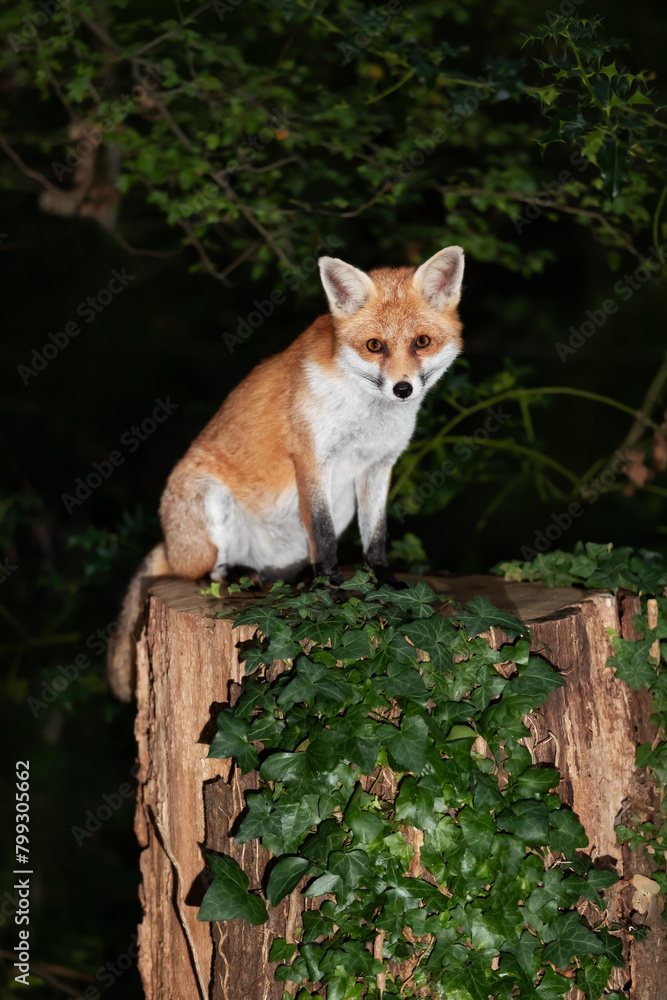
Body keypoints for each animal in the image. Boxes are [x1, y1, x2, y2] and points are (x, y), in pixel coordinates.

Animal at [107, 245, 465, 701]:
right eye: (374, 345)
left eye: (422, 342)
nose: (403, 389)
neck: (366, 414)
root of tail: (170, 545)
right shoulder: (311, 460)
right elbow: (324, 536)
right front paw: (331, 590)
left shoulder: (378, 465)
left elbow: (377, 536)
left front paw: (383, 581)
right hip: (211, 501)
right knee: (206, 573)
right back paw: (241, 576)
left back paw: (291, 580)